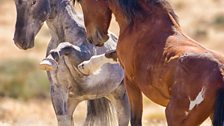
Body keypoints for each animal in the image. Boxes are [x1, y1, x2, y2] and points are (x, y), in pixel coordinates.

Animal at [75, 0, 224, 125]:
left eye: (82, 2)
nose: (92, 38)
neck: (143, 22)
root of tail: (220, 75)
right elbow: (111, 53)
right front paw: (84, 66)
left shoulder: (131, 81)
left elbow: (135, 119)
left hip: (175, 116)